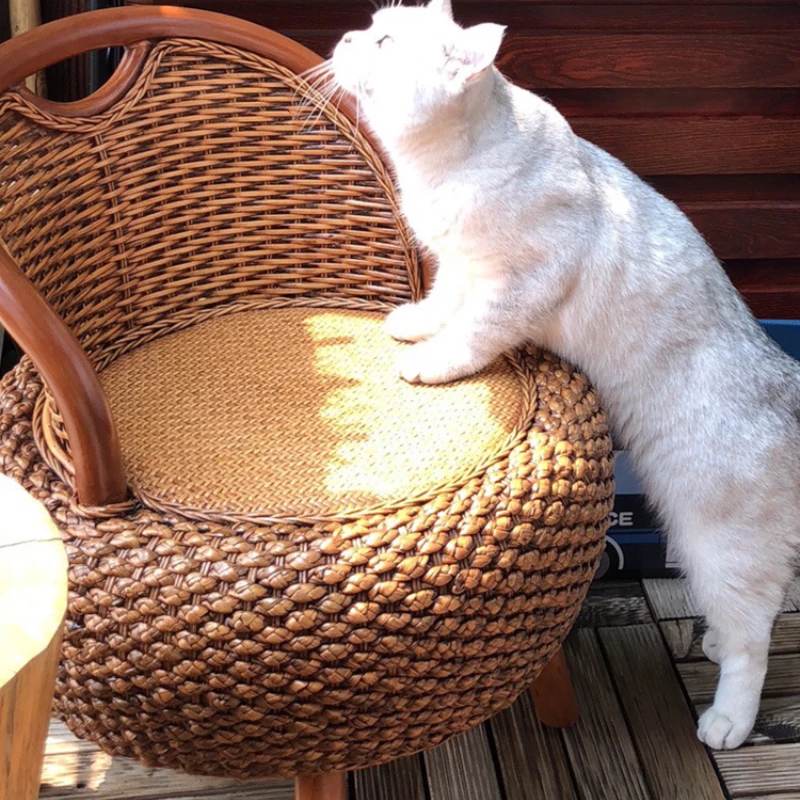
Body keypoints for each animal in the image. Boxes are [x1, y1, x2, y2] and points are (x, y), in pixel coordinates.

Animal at [330, 0, 800, 752]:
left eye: (384, 40)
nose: (347, 36)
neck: (439, 165)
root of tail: (784, 376)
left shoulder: (518, 285)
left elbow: (471, 335)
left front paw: (431, 362)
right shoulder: (459, 268)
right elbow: (443, 303)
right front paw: (414, 325)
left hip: (716, 539)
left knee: (756, 632)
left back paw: (728, 720)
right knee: (747, 622)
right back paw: (710, 648)